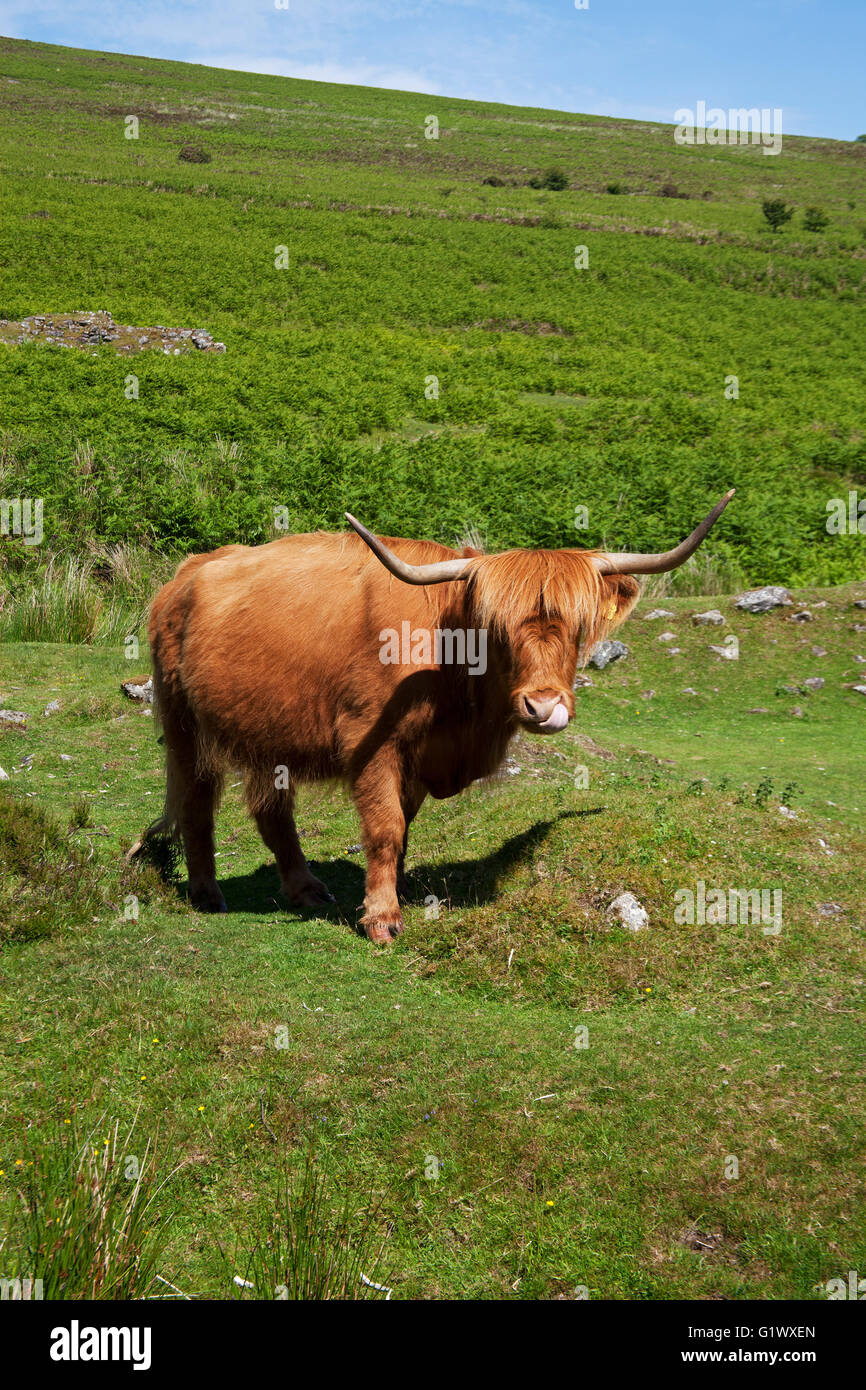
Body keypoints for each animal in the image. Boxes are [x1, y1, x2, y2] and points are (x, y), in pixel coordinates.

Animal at [132, 491, 734, 944]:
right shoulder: (372, 744)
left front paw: (393, 891)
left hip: (268, 733)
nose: (544, 707)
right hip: (184, 725)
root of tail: (184, 575)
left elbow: (405, 827)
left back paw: (305, 888)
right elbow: (385, 829)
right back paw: (207, 894)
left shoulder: (420, 758)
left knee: (271, 811)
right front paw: (381, 919)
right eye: (496, 629)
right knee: (196, 803)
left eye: (579, 627)